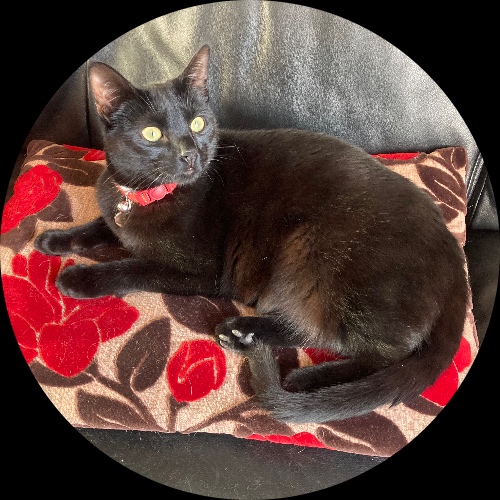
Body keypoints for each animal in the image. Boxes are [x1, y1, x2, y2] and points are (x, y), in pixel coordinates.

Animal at [34, 45, 468, 423]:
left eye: (198, 123)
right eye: (152, 134)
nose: (190, 154)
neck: (147, 195)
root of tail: (453, 254)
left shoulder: (202, 271)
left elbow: (133, 268)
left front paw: (80, 277)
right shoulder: (118, 216)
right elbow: (100, 227)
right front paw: (53, 240)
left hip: (312, 248)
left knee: (370, 349)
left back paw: (305, 377)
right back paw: (242, 333)